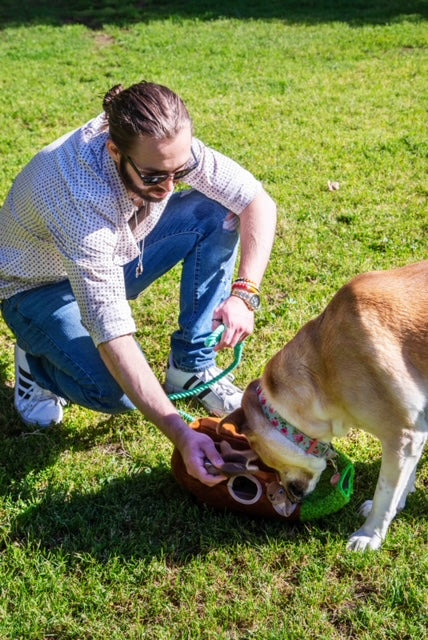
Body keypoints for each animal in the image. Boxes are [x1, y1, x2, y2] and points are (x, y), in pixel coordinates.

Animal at [226, 260, 426, 552]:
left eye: (268, 461)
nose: (291, 495)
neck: (323, 368)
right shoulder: (416, 429)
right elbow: (404, 479)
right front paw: (400, 501)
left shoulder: (402, 436)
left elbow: (385, 493)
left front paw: (369, 535)